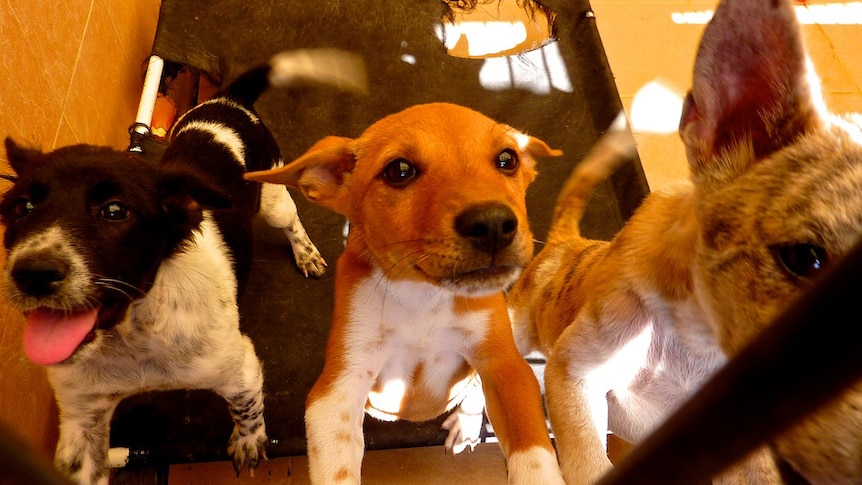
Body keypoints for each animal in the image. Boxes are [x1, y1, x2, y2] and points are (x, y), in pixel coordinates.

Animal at [0, 48, 366, 484]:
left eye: (115, 211)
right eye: (22, 207)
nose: (32, 274)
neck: (132, 334)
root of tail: (228, 101)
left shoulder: (241, 369)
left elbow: (246, 410)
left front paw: (248, 442)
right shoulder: (82, 419)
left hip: (274, 197)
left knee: (292, 221)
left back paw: (306, 254)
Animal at [243, 101, 568, 480]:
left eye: (507, 159)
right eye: (399, 171)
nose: (493, 225)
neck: (423, 296)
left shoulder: (505, 365)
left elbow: (533, 451)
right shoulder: (338, 386)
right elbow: (336, 469)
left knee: (475, 393)